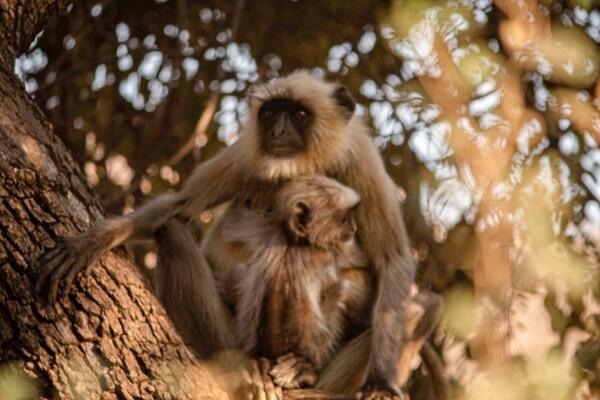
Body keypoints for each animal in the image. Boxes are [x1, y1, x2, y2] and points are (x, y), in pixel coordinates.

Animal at [36, 70, 440, 398]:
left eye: (298, 114)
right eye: (270, 114)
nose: (278, 132)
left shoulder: (361, 161)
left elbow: (392, 260)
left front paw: (382, 383)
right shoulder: (245, 154)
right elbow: (179, 206)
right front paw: (94, 241)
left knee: (425, 306)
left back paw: (304, 373)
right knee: (173, 233)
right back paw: (245, 369)